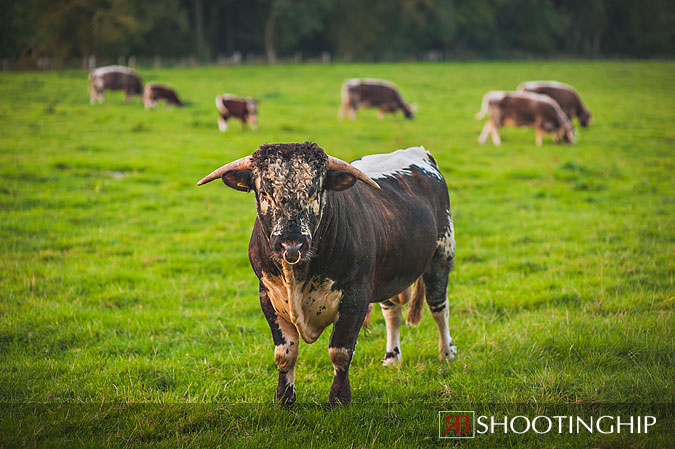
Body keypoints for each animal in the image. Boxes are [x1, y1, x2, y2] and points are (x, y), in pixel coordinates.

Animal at [198, 144, 456, 406]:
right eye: (264, 194)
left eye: (314, 193)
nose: (292, 244)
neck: (297, 278)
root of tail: (419, 152)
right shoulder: (267, 296)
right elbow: (285, 353)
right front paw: (284, 398)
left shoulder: (355, 297)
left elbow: (340, 351)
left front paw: (339, 398)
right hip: (389, 274)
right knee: (392, 312)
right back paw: (392, 358)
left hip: (442, 254)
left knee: (439, 307)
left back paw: (447, 353)